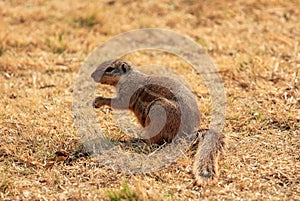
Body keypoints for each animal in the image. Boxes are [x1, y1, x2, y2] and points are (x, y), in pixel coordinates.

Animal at [91, 58, 225, 185]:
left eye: (109, 69)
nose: (92, 75)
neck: (127, 76)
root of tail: (191, 132)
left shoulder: (127, 93)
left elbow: (119, 103)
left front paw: (98, 100)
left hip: (158, 111)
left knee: (156, 142)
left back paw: (138, 143)